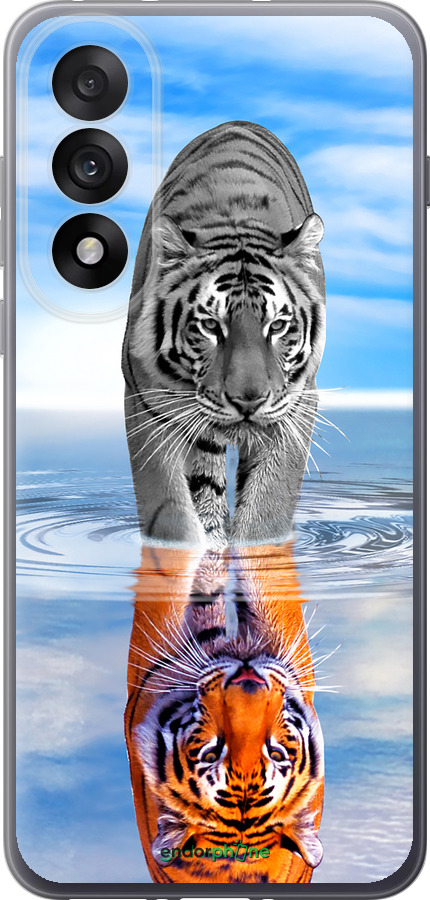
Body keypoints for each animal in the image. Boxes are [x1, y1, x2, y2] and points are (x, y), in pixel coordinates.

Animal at [122, 121, 326, 548]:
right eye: (210, 326)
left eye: (277, 326)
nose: (248, 400)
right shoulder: (145, 401)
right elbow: (170, 512)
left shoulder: (297, 404)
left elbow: (268, 509)